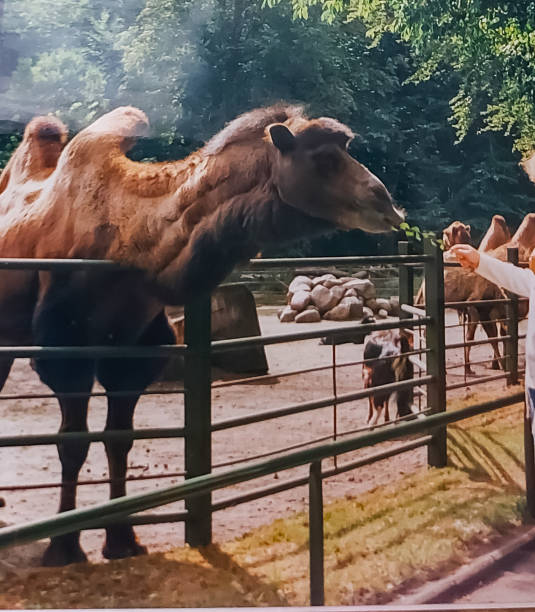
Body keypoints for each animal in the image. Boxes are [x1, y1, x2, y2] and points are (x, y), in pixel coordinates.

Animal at [0, 103, 404, 568]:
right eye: (323, 158)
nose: (388, 205)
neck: (127, 243)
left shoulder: (133, 353)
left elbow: (120, 440)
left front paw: (122, 541)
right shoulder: (64, 351)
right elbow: (72, 443)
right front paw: (63, 548)